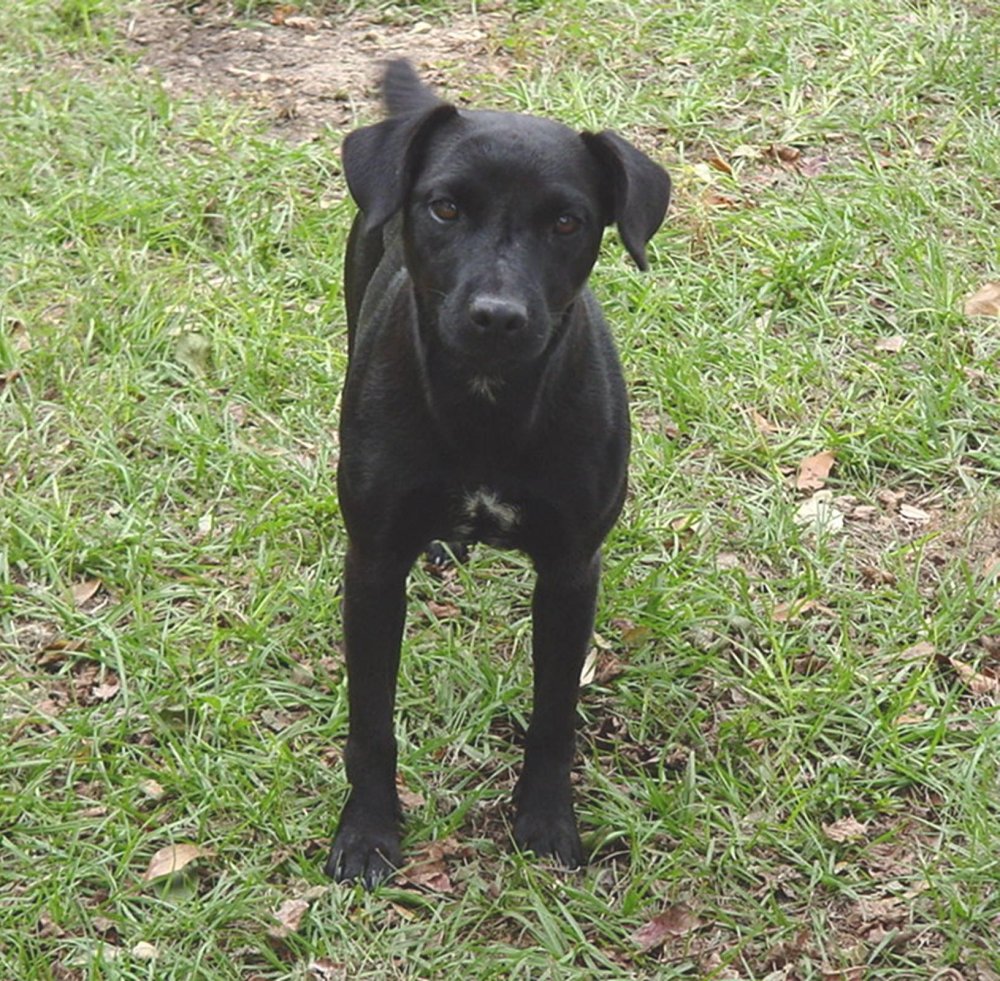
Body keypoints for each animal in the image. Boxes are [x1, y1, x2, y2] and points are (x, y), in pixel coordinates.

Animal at [328, 61, 672, 888]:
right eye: (446, 207)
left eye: (568, 222)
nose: (497, 315)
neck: (486, 404)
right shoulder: (373, 566)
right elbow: (371, 720)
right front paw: (368, 831)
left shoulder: (572, 570)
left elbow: (553, 717)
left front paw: (546, 824)